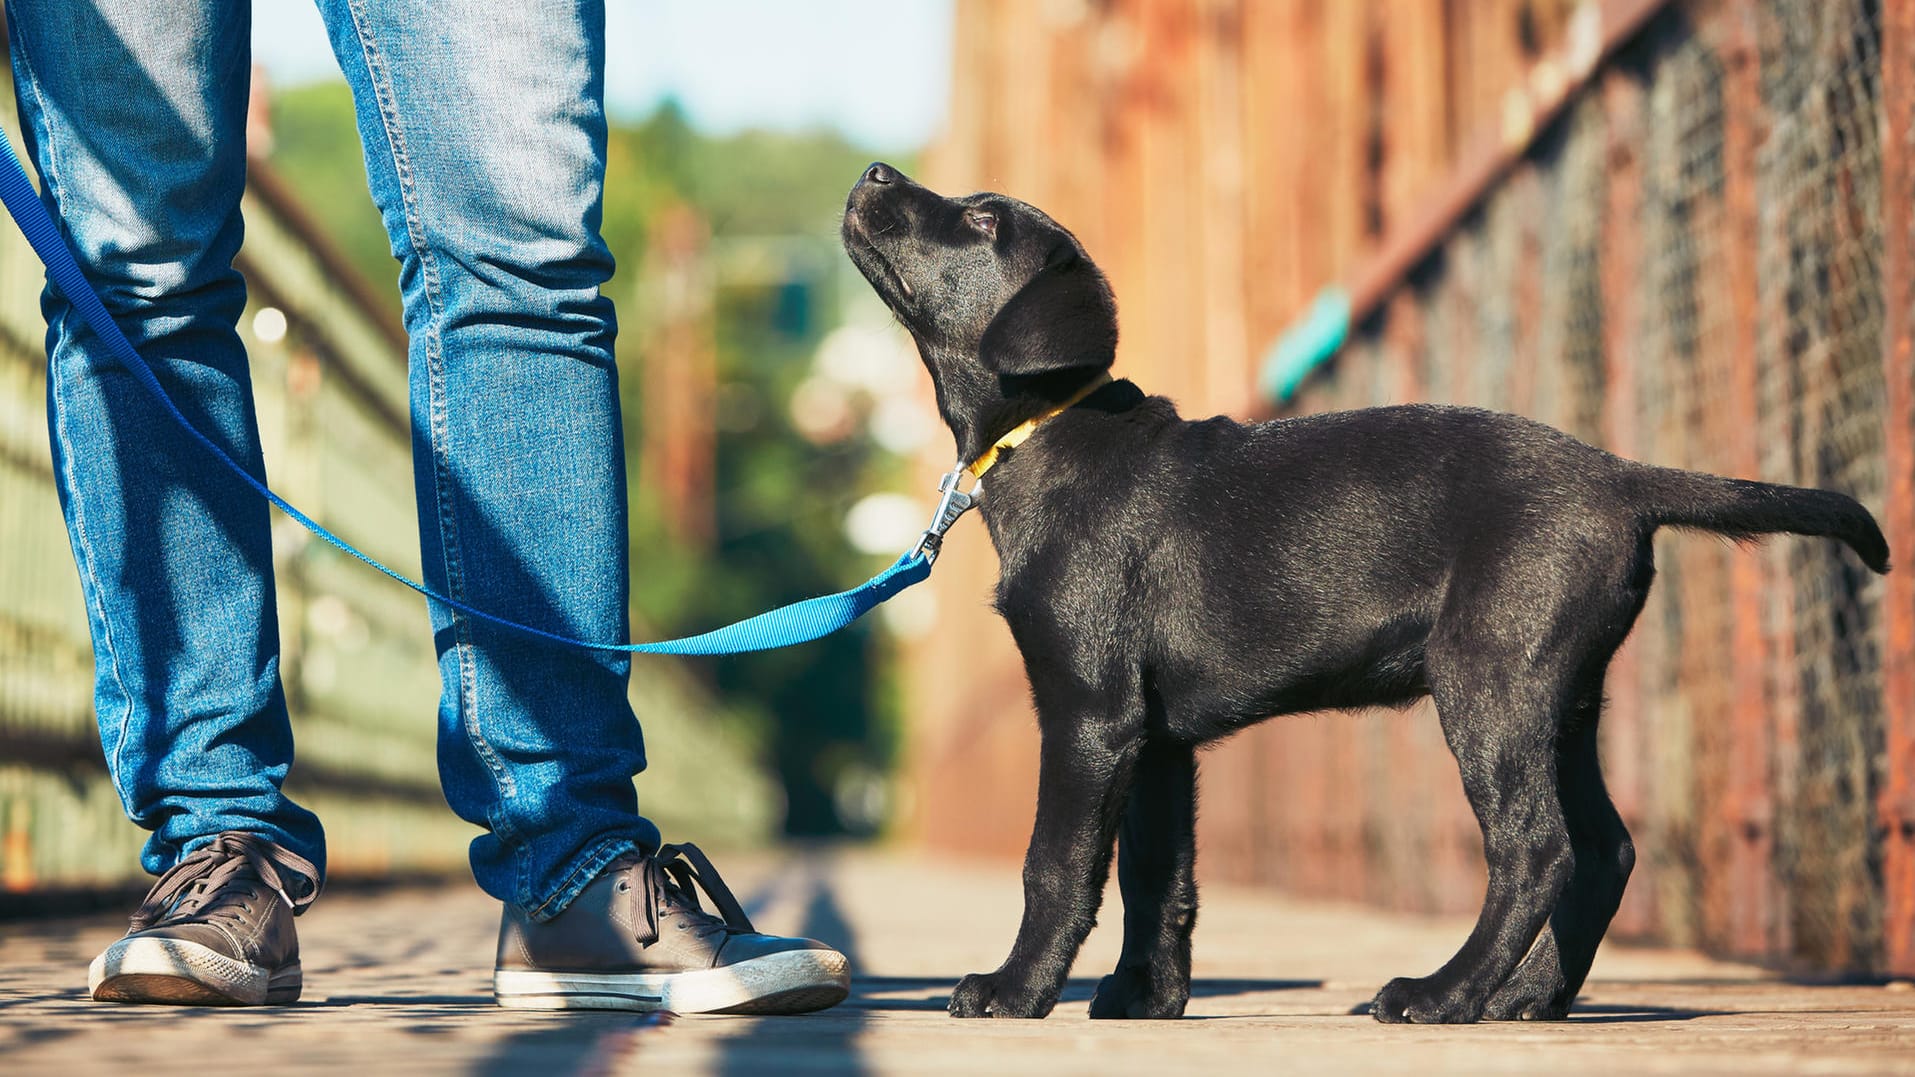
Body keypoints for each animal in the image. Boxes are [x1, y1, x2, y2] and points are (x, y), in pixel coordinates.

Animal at [842, 163, 1884, 1019]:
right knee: (1602, 850)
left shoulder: (1088, 713)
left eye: (980, 218)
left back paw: (1442, 994)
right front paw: (1145, 998)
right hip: (1562, 696)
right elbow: (1156, 877)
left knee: (1535, 848)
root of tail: (1620, 476)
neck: (1047, 432)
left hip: (1488, 680)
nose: (874, 169)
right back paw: (1524, 999)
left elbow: (1055, 865)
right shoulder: (1156, 738)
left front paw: (1014, 990)